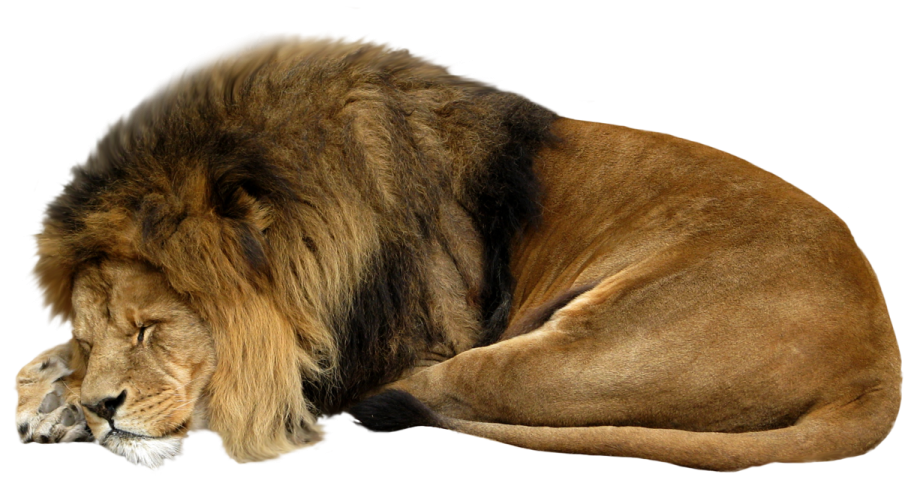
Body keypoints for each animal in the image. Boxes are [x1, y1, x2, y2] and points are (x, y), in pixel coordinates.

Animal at [14, 30, 902, 474]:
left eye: (152, 327)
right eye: (89, 335)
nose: (103, 406)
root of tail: (881, 356)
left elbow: (254, 386)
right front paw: (50, 398)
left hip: (590, 342)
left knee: (457, 389)